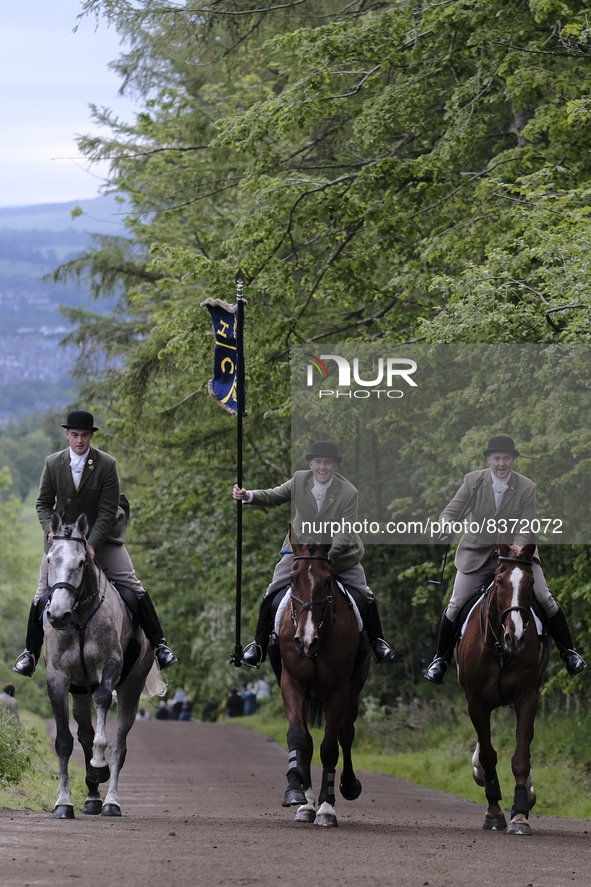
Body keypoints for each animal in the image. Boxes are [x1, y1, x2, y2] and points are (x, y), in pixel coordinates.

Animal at [44, 512, 165, 820]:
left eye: (81, 562)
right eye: (49, 560)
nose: (58, 615)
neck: (79, 619)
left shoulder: (109, 667)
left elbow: (103, 709)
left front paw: (98, 765)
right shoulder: (57, 679)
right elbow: (64, 742)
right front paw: (63, 802)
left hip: (131, 688)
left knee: (119, 746)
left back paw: (110, 801)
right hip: (79, 692)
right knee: (84, 734)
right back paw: (92, 797)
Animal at [278, 536, 370, 828]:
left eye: (327, 580)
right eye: (293, 578)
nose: (306, 641)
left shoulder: (339, 690)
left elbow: (330, 747)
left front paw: (327, 809)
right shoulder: (291, 682)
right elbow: (299, 738)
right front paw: (296, 794)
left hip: (353, 693)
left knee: (345, 733)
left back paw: (349, 785)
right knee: (308, 742)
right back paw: (306, 804)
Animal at [458, 540, 552, 840]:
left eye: (531, 582)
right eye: (499, 582)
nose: (516, 636)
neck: (500, 649)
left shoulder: (527, 697)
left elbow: (521, 756)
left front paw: (520, 814)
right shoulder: (475, 702)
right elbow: (488, 755)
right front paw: (494, 812)